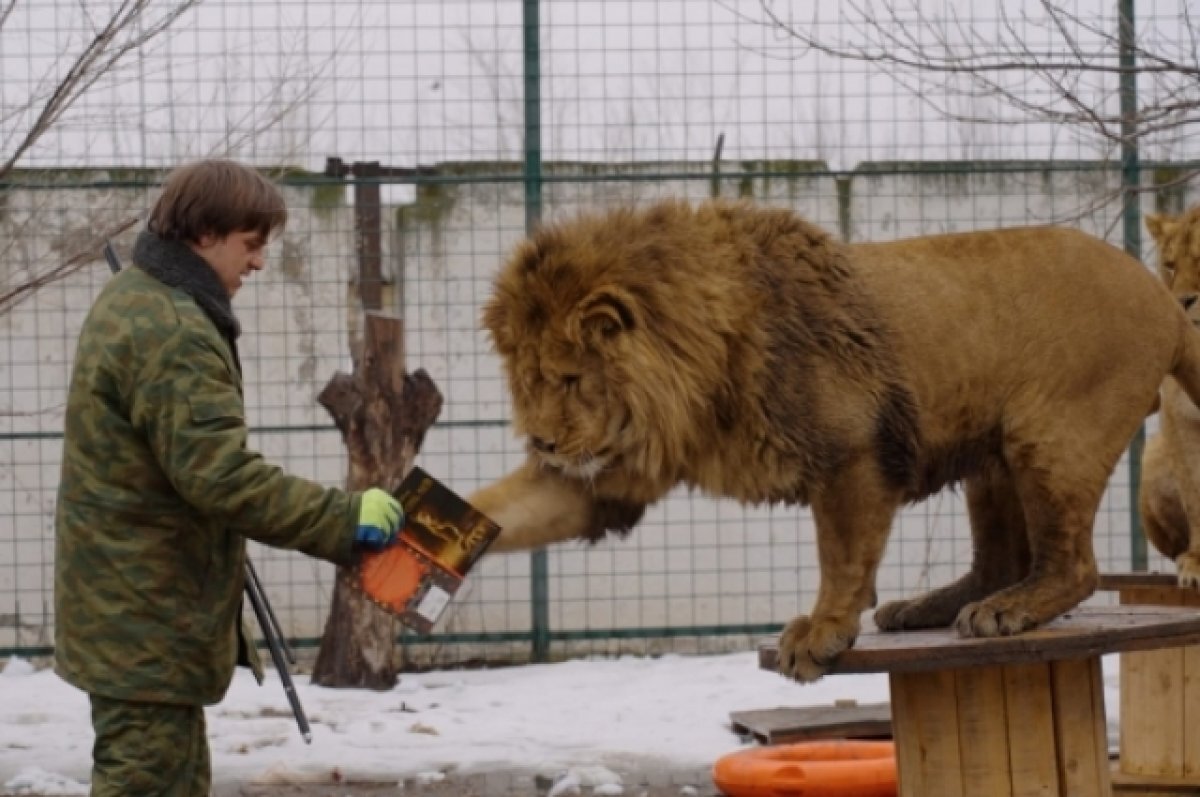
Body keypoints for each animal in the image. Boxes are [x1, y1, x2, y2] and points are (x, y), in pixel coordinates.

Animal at [463, 198, 1200, 676]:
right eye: (525, 381)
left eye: (568, 379)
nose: (543, 444)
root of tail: (1165, 299)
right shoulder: (610, 472)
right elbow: (505, 509)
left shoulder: (853, 453)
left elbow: (841, 556)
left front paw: (821, 631)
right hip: (990, 452)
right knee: (1001, 558)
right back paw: (933, 606)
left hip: (1048, 434)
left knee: (1073, 565)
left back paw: (1007, 611)